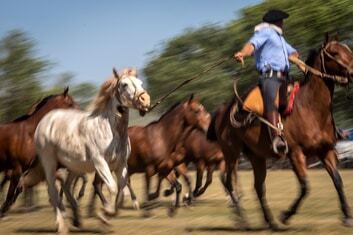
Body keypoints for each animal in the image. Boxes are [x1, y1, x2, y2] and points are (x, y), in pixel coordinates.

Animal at [0, 88, 77, 217]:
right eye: (70, 103)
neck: (29, 133)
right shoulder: (16, 170)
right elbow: (11, 195)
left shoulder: (27, 169)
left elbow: (19, 190)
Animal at [28, 68, 148, 233]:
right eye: (124, 84)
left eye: (140, 83)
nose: (145, 100)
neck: (112, 131)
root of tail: (45, 121)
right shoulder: (100, 163)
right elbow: (112, 188)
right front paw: (104, 215)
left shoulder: (121, 164)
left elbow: (122, 191)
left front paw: (107, 218)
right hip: (50, 163)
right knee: (53, 191)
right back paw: (61, 225)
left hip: (74, 166)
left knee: (66, 187)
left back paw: (77, 220)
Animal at [206, 35, 352, 229]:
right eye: (334, 53)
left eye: (348, 49)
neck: (310, 107)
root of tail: (222, 110)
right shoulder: (295, 153)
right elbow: (305, 186)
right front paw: (286, 216)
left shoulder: (325, 150)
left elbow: (337, 180)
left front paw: (346, 216)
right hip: (231, 153)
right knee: (228, 181)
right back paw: (244, 220)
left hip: (256, 156)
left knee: (258, 187)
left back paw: (270, 222)